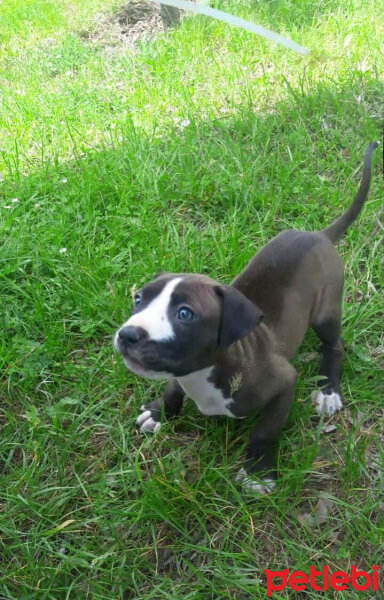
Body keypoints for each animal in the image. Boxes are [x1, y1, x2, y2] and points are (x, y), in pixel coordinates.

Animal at [113, 142, 378, 492]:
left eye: (185, 314)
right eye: (138, 299)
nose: (128, 335)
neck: (205, 374)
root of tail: (319, 235)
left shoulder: (283, 382)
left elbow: (265, 431)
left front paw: (257, 471)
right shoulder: (178, 369)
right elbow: (172, 387)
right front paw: (160, 412)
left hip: (326, 312)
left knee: (334, 345)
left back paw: (328, 391)